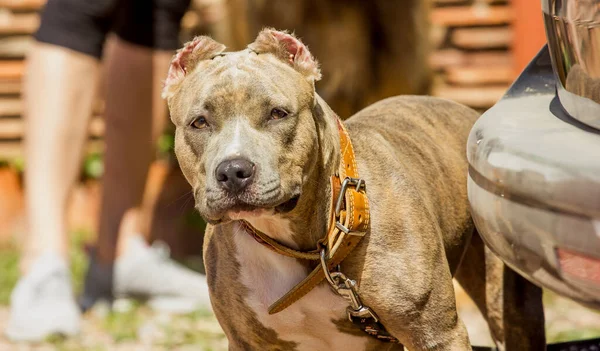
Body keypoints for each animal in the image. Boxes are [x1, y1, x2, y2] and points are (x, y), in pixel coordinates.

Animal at [162, 29, 548, 351]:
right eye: (199, 122)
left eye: (277, 113)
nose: (233, 171)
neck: (309, 247)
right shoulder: (248, 343)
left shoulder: (437, 334)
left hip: (509, 306)